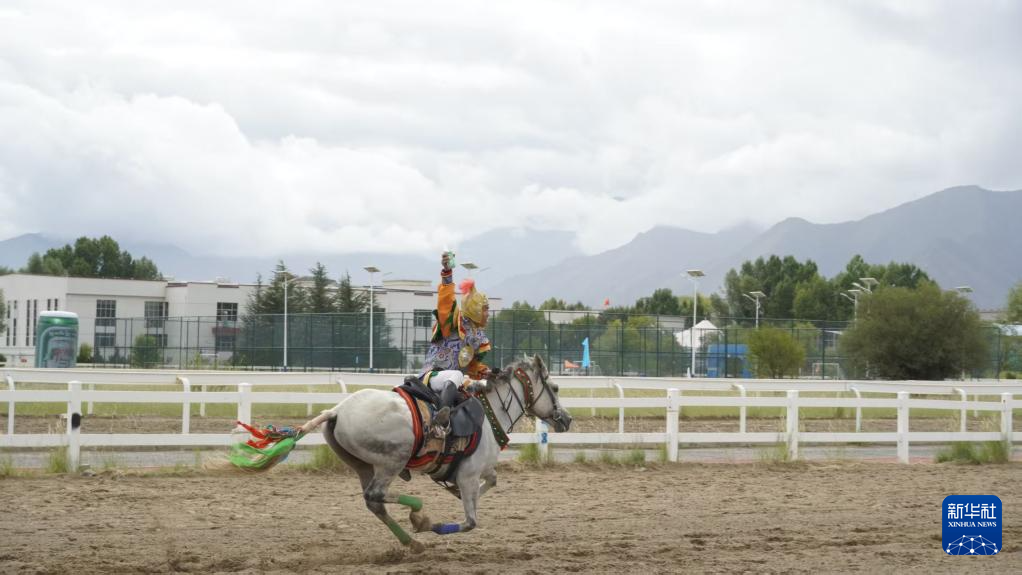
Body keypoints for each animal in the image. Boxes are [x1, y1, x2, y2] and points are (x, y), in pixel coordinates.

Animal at [297, 354, 572, 552]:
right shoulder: (469, 474)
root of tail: (336, 411)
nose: (567, 419)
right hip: (392, 462)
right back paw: (419, 514)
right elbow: (470, 521)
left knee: (373, 502)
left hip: (362, 466)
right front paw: (432, 523)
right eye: (556, 388)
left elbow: (491, 481)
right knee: (377, 494)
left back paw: (412, 543)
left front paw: (455, 494)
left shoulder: (478, 471)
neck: (490, 414)